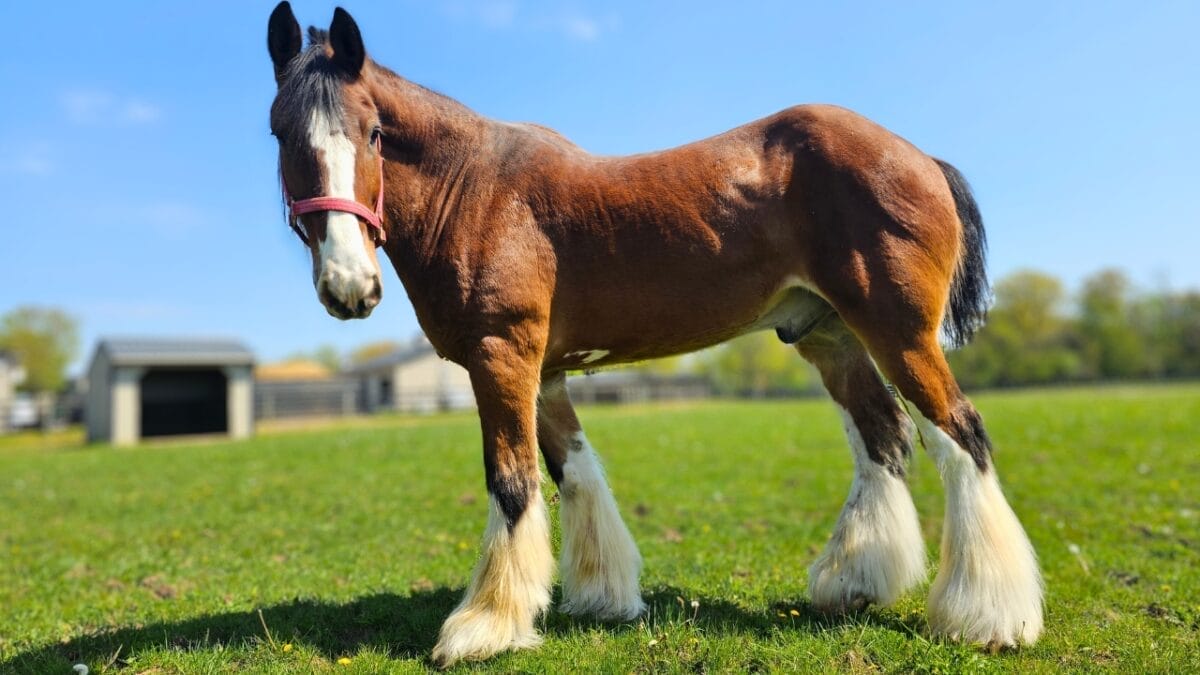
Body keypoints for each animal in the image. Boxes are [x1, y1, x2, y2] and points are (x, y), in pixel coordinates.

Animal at [265, 3, 1043, 666]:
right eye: (279, 132)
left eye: (372, 132)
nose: (349, 287)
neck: (479, 190)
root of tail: (918, 156)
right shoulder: (545, 371)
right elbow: (575, 473)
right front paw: (600, 597)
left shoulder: (501, 357)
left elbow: (512, 480)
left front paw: (483, 626)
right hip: (829, 334)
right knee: (883, 435)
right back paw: (854, 582)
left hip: (898, 333)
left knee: (960, 434)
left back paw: (988, 615)